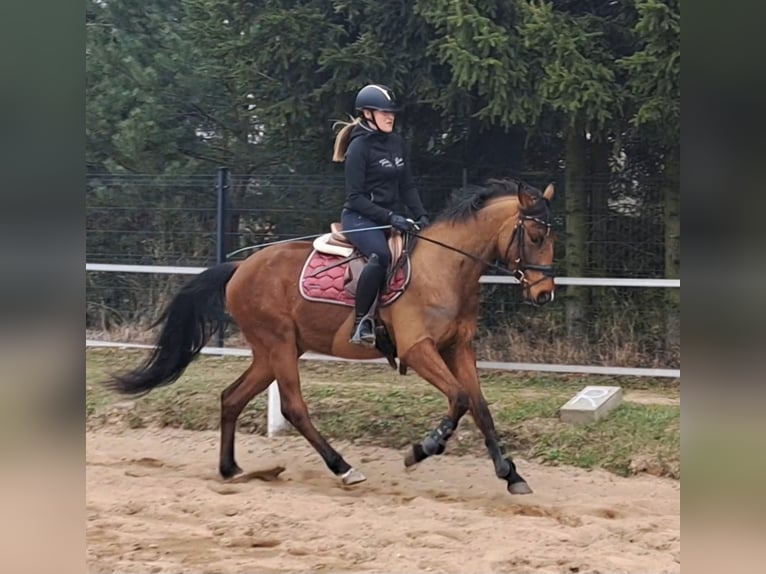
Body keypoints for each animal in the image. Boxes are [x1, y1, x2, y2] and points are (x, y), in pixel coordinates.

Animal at [105, 179, 556, 496]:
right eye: (535, 237)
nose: (544, 294)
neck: (444, 269)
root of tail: (239, 269)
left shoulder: (458, 348)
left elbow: (480, 407)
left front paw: (510, 473)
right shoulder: (419, 350)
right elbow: (459, 400)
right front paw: (422, 449)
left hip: (272, 351)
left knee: (232, 398)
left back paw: (231, 469)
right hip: (279, 346)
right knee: (293, 408)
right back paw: (343, 468)